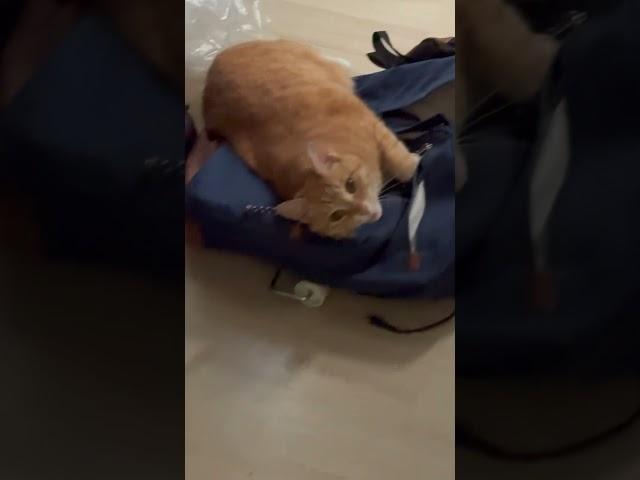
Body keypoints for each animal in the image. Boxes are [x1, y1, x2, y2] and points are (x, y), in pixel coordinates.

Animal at [202, 39, 420, 240]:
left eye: (350, 184)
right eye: (337, 215)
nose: (366, 211)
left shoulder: (370, 122)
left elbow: (395, 154)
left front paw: (411, 166)